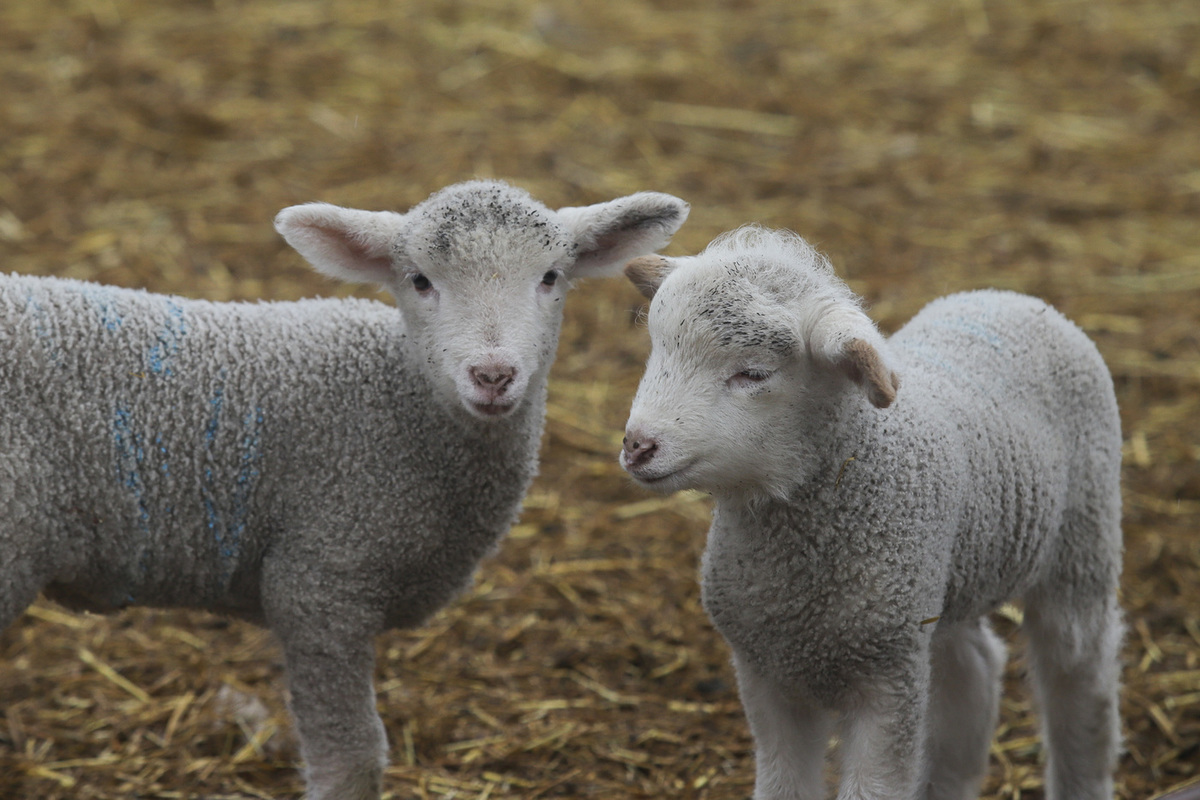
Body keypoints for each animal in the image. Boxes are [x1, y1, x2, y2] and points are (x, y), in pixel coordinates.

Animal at [0, 179, 691, 800]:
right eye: (419, 280)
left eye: (551, 276)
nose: (493, 375)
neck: (399, 401)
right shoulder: (321, 577)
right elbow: (353, 760)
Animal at [619, 225, 1123, 800]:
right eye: (657, 349)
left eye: (753, 373)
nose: (637, 446)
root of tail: (1008, 296)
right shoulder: (766, 673)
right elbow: (784, 784)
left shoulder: (887, 682)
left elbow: (875, 784)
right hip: (939, 586)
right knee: (972, 668)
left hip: (1081, 545)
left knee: (1080, 680)